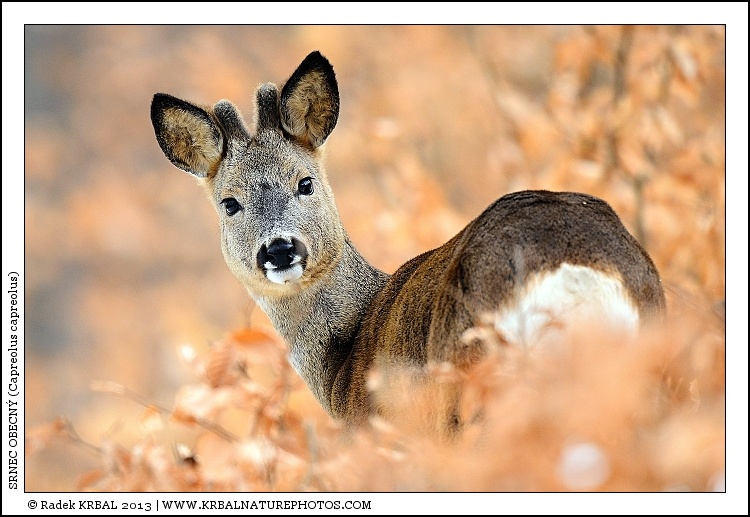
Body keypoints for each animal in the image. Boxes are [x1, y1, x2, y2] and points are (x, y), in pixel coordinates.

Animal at [151, 50, 666, 434]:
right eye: (229, 203)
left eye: (305, 182)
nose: (279, 249)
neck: (343, 359)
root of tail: (575, 276)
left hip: (475, 387)